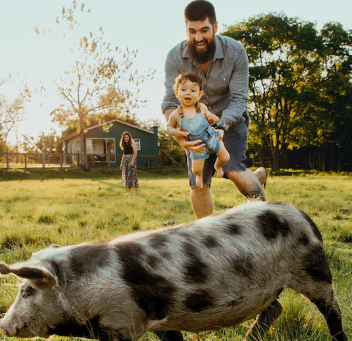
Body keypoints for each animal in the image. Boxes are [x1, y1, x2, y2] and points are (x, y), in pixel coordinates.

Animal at [0, 201, 348, 340]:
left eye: (27, 291)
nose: (3, 325)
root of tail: (301, 214)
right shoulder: (157, 317)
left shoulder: (122, 321)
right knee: (274, 307)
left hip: (315, 272)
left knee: (333, 309)